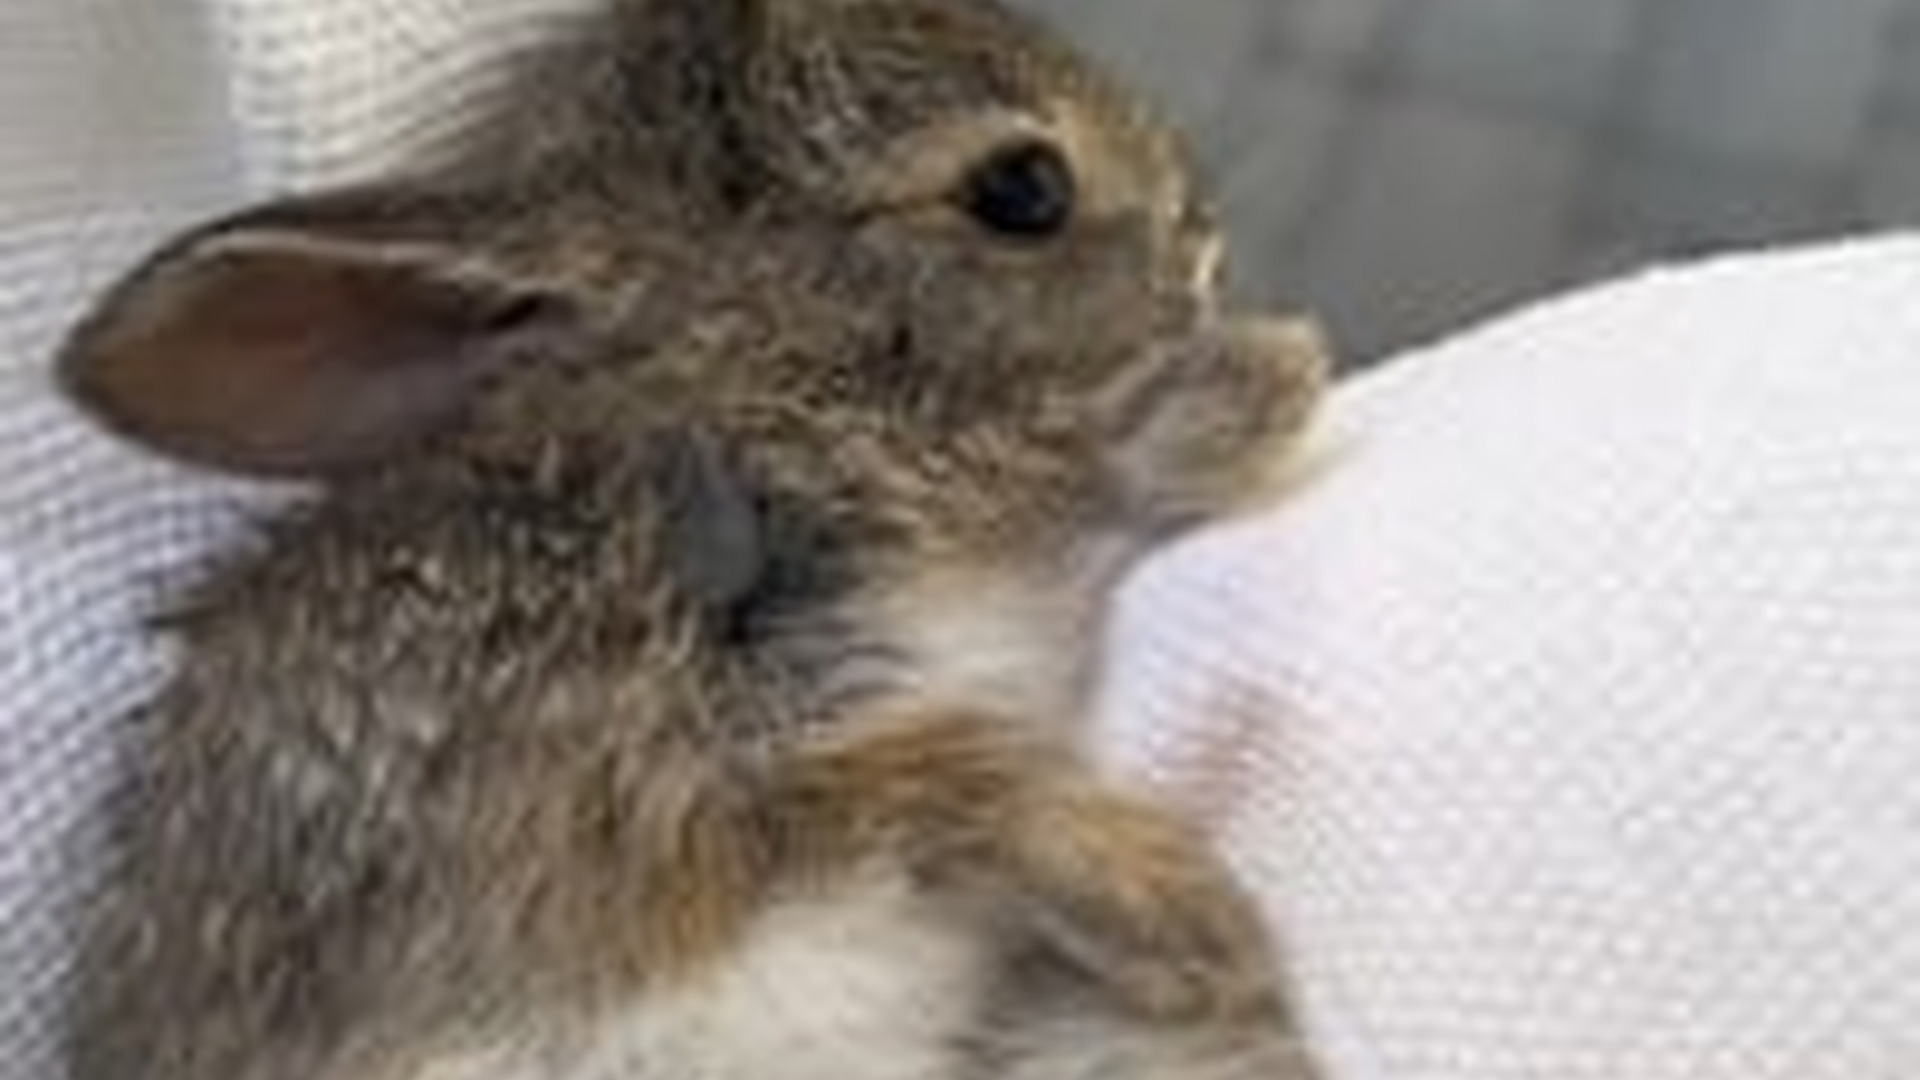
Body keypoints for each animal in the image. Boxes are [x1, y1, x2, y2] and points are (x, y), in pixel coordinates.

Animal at [55, 1, 1329, 1078]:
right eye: (1024, 187)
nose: (1204, 250)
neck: (743, 431)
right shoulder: (626, 797)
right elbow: (935, 786)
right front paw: (1187, 919)